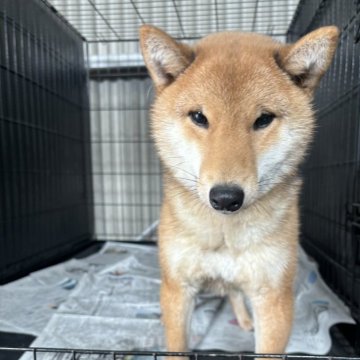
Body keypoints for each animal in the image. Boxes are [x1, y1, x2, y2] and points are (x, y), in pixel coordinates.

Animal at [139, 25, 338, 354]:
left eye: (263, 119)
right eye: (199, 117)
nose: (225, 197)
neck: (224, 234)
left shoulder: (274, 297)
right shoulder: (178, 288)